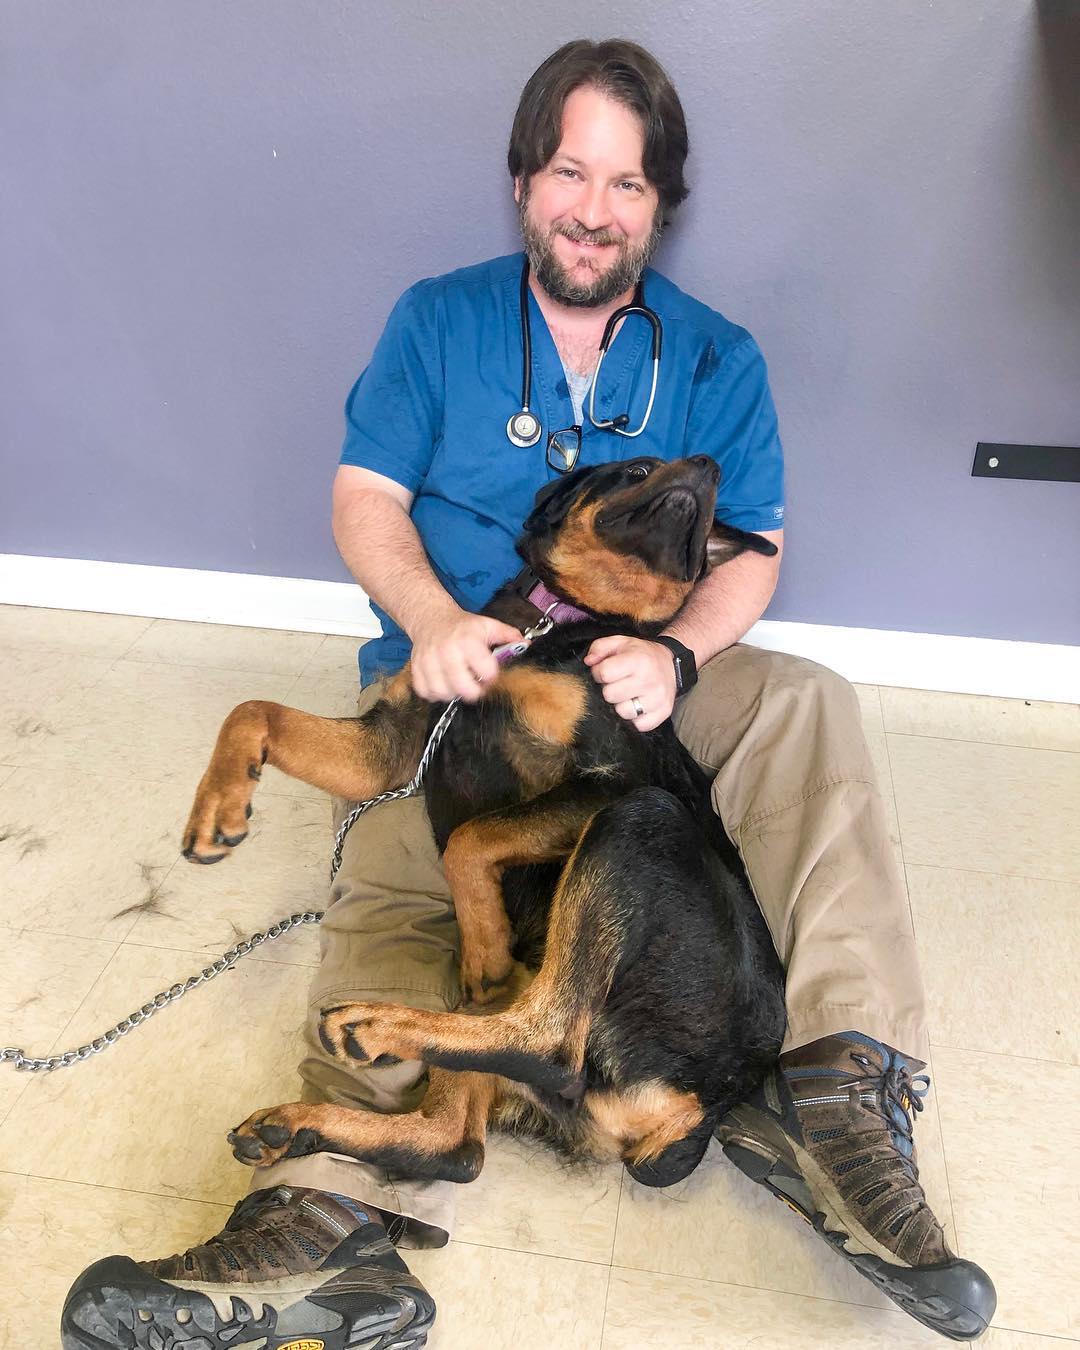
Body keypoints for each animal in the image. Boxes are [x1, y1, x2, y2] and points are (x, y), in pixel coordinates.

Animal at [180, 456, 783, 1193]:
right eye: (638, 467)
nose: (710, 466)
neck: (558, 619)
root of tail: (702, 1111)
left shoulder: (610, 780)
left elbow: (471, 838)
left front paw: (487, 947)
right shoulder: (388, 749)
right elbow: (253, 709)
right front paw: (218, 806)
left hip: (642, 816)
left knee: (549, 1043)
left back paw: (381, 1023)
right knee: (453, 1147)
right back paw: (296, 1125)